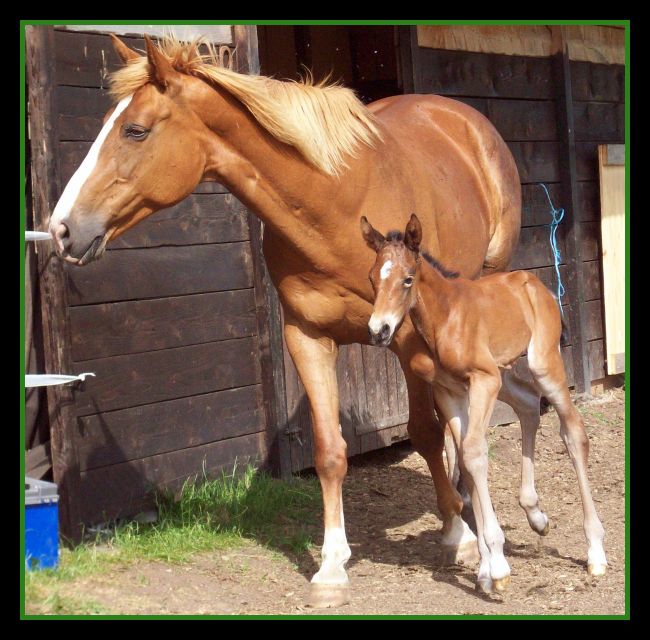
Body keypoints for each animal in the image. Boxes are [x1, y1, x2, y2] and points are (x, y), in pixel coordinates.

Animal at [362, 212, 604, 592]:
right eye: (373, 278)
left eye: (407, 279)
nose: (379, 331)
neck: (445, 318)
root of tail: (539, 286)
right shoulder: (450, 390)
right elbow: (464, 454)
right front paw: (488, 568)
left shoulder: (483, 380)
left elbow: (475, 452)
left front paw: (498, 566)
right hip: (505, 374)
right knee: (528, 404)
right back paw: (536, 514)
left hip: (542, 364)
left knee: (573, 430)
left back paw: (596, 552)